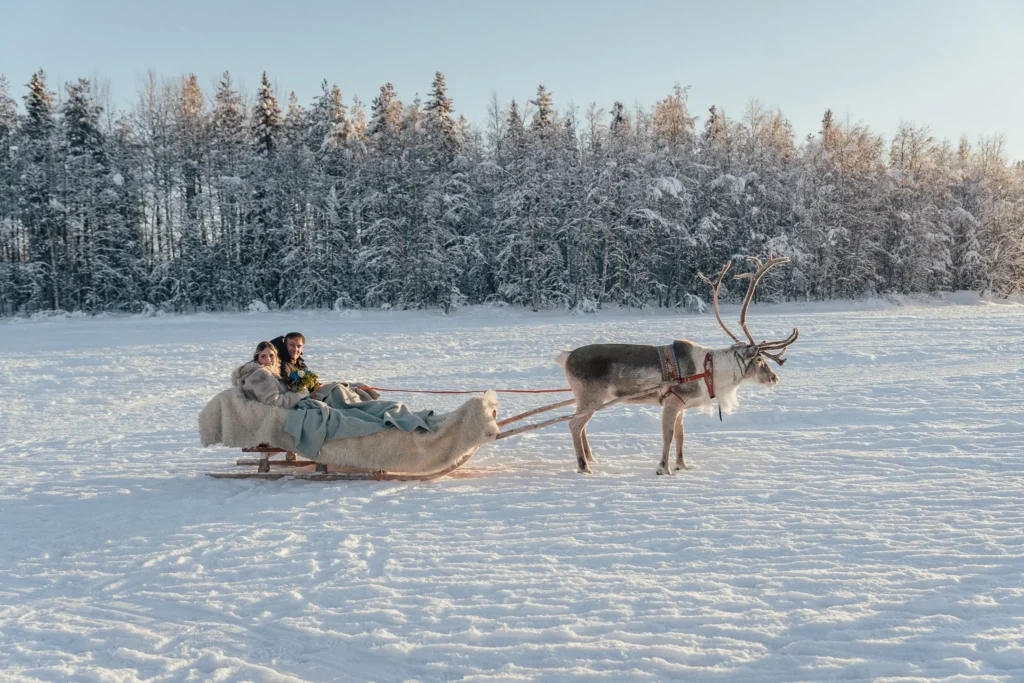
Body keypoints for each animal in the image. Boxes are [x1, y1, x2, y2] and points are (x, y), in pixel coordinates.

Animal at [554, 256, 799, 475]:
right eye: (759, 360)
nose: (775, 377)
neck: (711, 371)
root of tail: (565, 357)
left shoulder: (682, 406)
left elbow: (681, 436)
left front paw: (682, 465)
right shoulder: (671, 402)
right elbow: (669, 436)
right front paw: (663, 468)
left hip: (592, 399)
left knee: (582, 426)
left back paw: (590, 459)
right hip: (591, 397)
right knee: (574, 425)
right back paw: (584, 466)